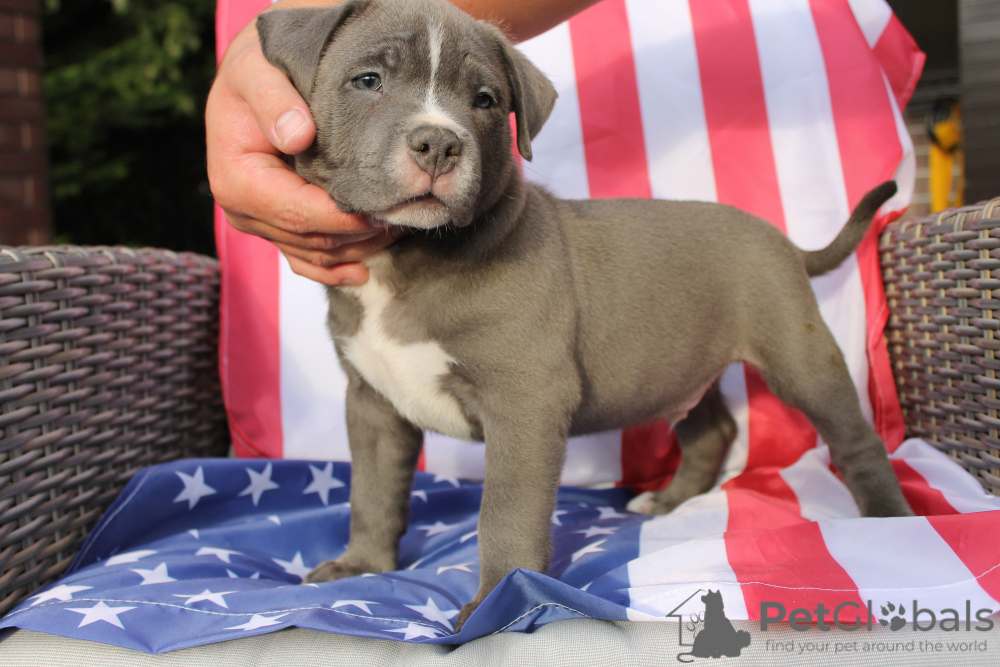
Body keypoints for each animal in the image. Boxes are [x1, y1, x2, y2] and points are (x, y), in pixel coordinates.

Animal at [257, 0, 913, 630]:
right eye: (368, 80)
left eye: (484, 101)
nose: (440, 143)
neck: (406, 256)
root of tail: (783, 241)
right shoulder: (372, 403)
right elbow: (371, 491)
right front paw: (361, 565)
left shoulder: (525, 401)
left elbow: (506, 509)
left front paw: (499, 600)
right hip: (680, 367)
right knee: (712, 431)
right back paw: (667, 502)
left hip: (800, 353)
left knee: (855, 437)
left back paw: (890, 520)